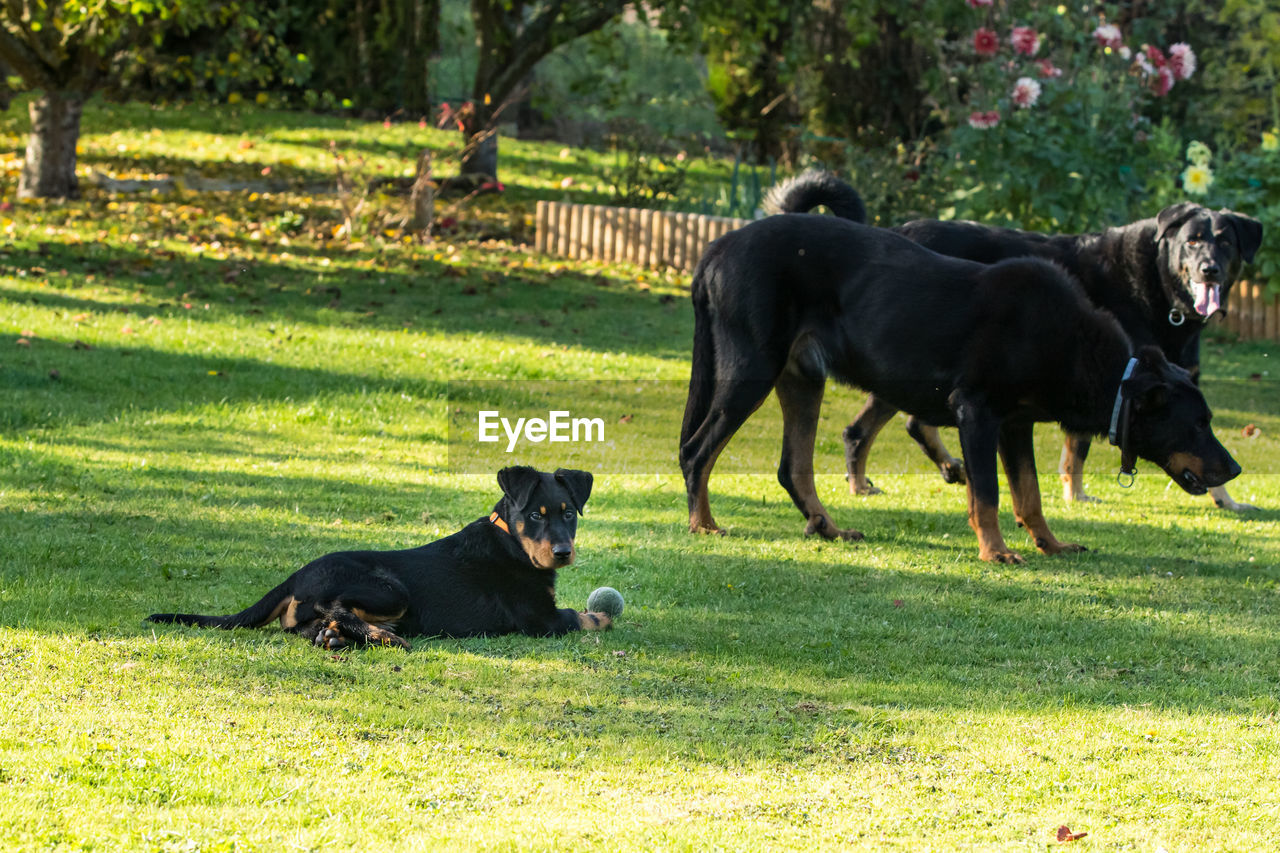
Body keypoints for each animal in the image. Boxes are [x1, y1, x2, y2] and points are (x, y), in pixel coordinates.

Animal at [147, 466, 611, 645]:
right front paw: (601, 616)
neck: (512, 542)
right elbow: (584, 616)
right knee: (331, 605)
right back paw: (380, 636)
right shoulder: (541, 619)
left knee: (303, 625)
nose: (563, 552)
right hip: (390, 589)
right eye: (534, 514)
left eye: (569, 513)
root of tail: (296, 575)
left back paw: (336, 638)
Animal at [680, 211, 1239, 558]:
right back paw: (703, 524)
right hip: (752, 367)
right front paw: (996, 551)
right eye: (1197, 424)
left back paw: (828, 528)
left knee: (793, 468)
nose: (1234, 470)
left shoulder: (1014, 425)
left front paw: (1050, 544)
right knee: (696, 451)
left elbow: (1029, 494)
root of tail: (714, 251)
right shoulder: (977, 413)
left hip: (803, 378)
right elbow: (987, 492)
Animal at [762, 169, 1264, 507]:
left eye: (1225, 241)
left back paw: (879, 479)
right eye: (1193, 240)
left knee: (872, 428)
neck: (1158, 288)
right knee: (887, 426)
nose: (1209, 269)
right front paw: (1076, 496)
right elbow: (1078, 450)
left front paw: (1228, 500)